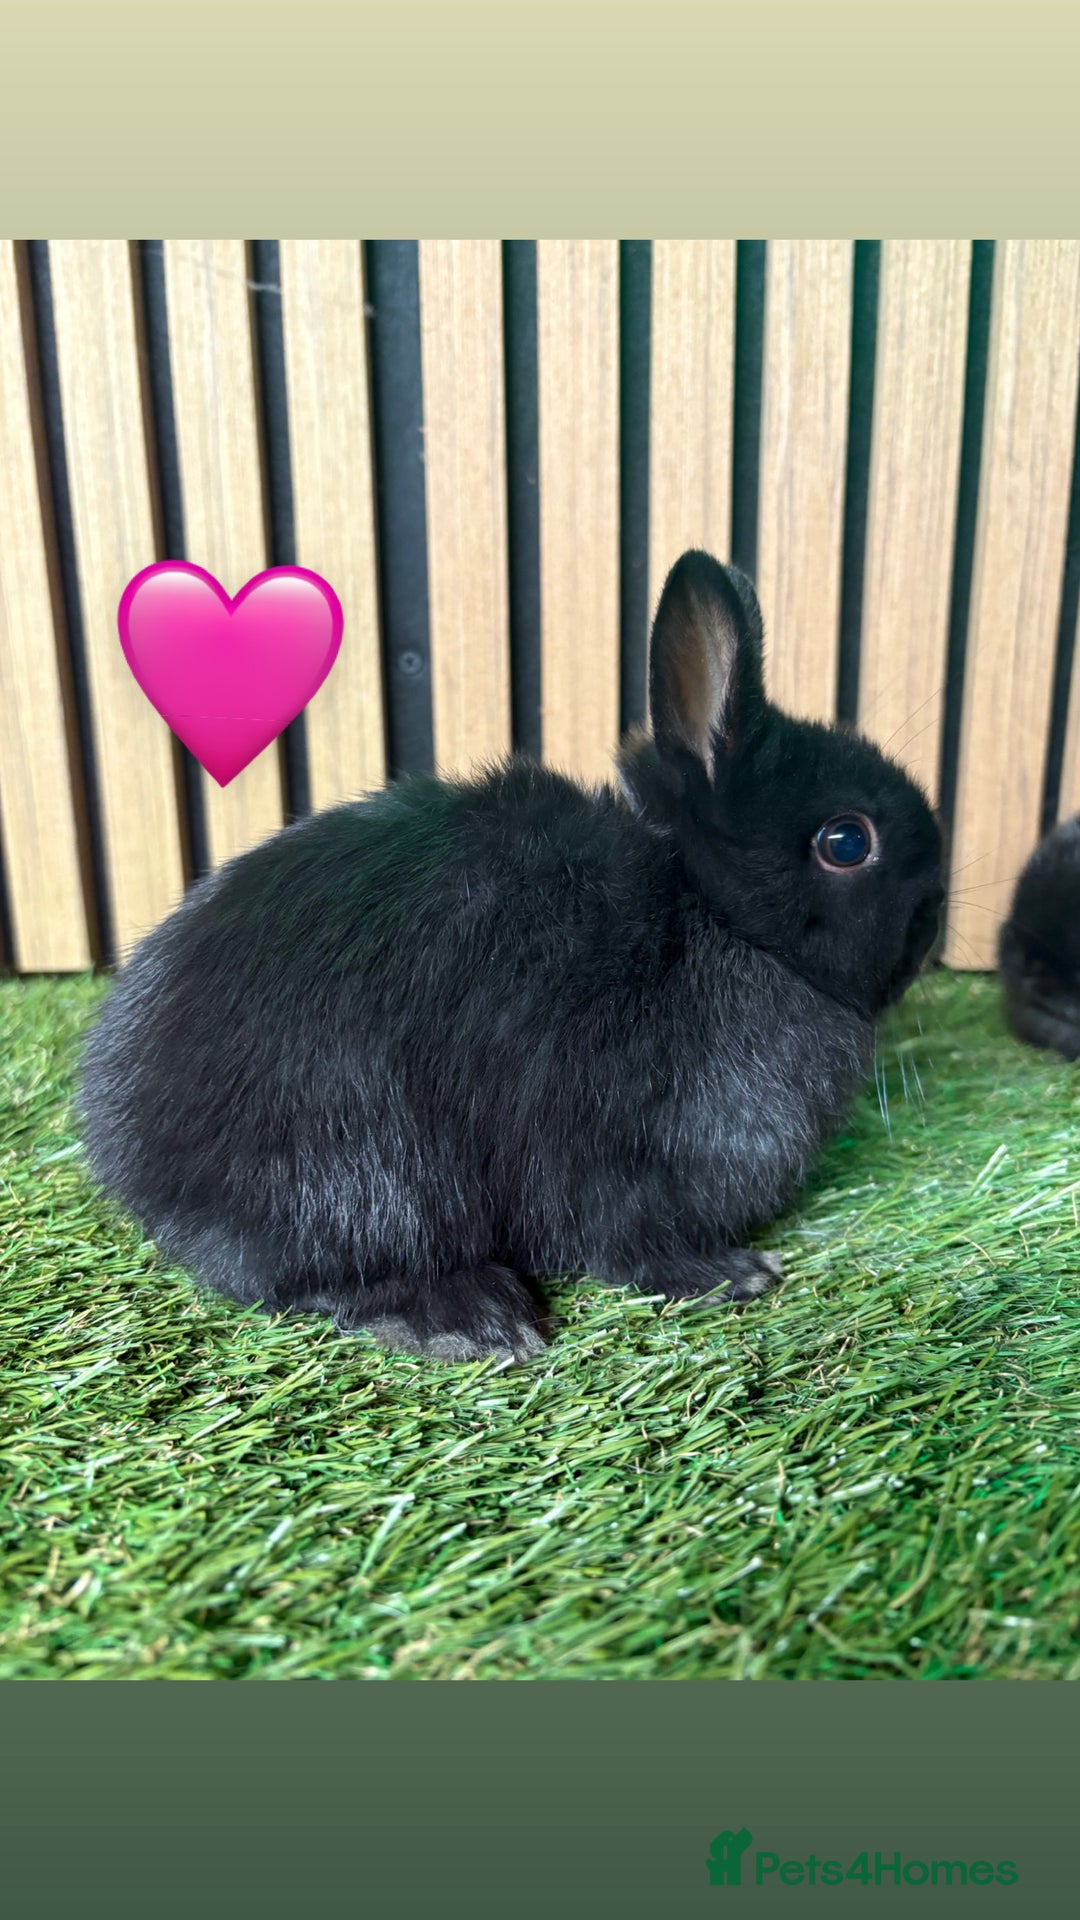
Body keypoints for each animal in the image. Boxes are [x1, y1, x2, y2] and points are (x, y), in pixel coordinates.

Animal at [79, 551, 944, 1364]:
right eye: (847, 842)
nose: (935, 923)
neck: (712, 914)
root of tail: (135, 1162)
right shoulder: (614, 1149)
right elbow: (623, 1242)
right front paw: (732, 1275)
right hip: (364, 1165)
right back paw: (469, 1318)